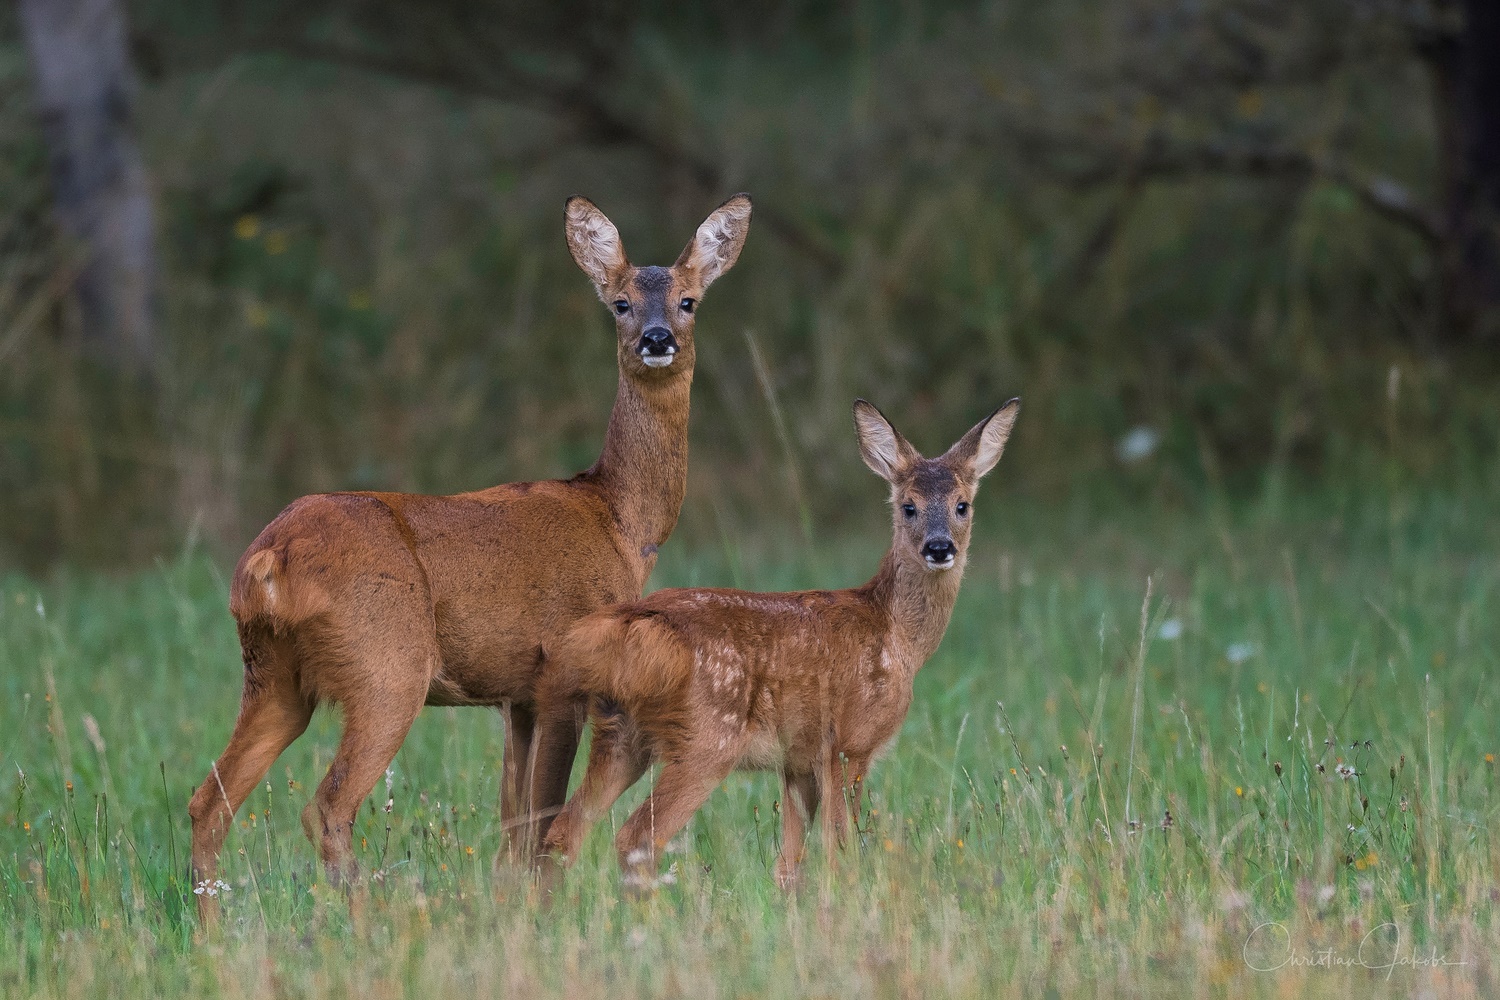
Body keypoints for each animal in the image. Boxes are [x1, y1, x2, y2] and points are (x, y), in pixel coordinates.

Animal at [187, 191, 750, 917]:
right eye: (621, 301)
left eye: (688, 301)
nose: (658, 339)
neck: (618, 520)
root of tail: (269, 560)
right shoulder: (561, 669)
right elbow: (541, 820)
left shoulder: (516, 696)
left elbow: (513, 823)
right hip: (386, 664)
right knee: (327, 807)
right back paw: (370, 921)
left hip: (272, 675)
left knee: (209, 800)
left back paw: (211, 926)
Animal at [531, 395, 1020, 887]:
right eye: (908, 506)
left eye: (963, 505)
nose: (939, 548)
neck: (895, 635)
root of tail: (630, 627)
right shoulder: (849, 744)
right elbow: (841, 849)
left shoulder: (797, 762)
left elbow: (789, 864)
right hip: (706, 738)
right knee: (636, 838)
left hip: (621, 732)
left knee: (563, 832)